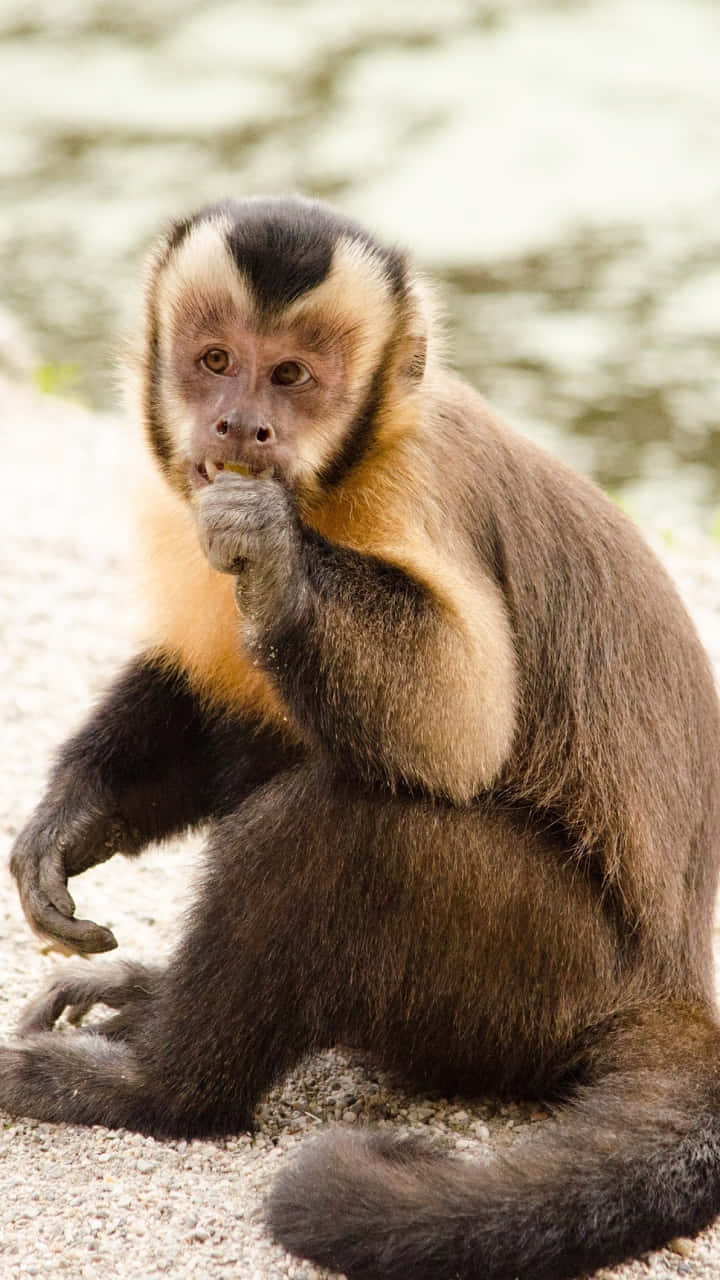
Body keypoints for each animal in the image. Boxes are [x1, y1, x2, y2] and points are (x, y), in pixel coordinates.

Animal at [3, 194, 720, 1280]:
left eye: (292, 378)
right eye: (216, 359)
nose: (241, 424)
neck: (329, 483)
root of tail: (674, 980)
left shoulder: (407, 494)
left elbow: (455, 724)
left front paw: (275, 552)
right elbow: (213, 701)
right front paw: (71, 820)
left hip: (541, 981)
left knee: (337, 828)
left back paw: (161, 1089)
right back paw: (158, 1001)